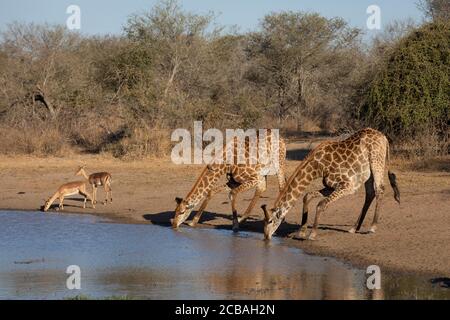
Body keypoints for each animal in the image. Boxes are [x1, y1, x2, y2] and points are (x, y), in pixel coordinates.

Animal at [260, 127, 400, 240]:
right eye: (264, 221)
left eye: (270, 221)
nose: (266, 237)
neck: (317, 167)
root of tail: (384, 138)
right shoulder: (330, 186)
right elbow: (307, 196)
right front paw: (302, 232)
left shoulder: (347, 185)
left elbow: (321, 204)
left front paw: (312, 234)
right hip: (367, 173)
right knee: (370, 193)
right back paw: (354, 228)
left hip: (376, 161)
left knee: (379, 189)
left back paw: (372, 227)